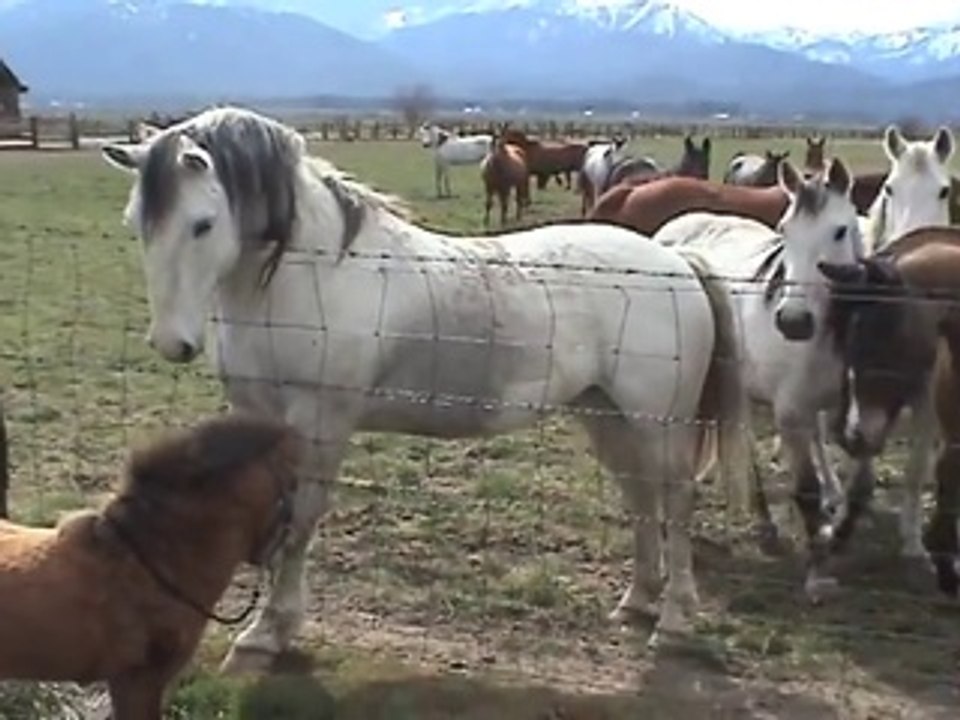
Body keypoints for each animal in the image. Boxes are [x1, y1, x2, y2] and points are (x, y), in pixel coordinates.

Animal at [100, 105, 748, 671]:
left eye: (202, 224)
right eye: (136, 223)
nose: (172, 343)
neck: (311, 276)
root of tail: (676, 260)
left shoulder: (321, 422)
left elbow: (301, 522)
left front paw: (267, 635)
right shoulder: (258, 417)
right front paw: (266, 629)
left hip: (657, 422)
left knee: (676, 505)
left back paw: (673, 622)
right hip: (605, 414)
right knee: (641, 500)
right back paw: (637, 603)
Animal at [652, 158, 868, 599]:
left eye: (840, 231)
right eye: (785, 230)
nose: (793, 321)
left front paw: (836, 528)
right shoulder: (791, 413)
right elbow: (806, 489)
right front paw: (817, 573)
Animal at [818, 227, 960, 596]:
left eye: (880, 335)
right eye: (847, 342)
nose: (850, 435)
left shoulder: (924, 401)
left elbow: (918, 471)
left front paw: (918, 548)